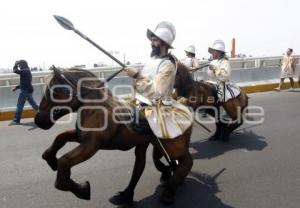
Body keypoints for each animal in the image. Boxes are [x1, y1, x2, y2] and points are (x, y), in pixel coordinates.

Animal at [34, 67, 193, 205]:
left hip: (174, 146)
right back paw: (127, 195)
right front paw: (51, 160)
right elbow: (60, 138)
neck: (95, 109)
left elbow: (64, 162)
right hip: (151, 143)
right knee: (142, 163)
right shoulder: (81, 137)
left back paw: (168, 193)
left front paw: (82, 190)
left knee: (186, 162)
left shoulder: (91, 145)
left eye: (54, 91)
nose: (38, 120)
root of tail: (183, 106)